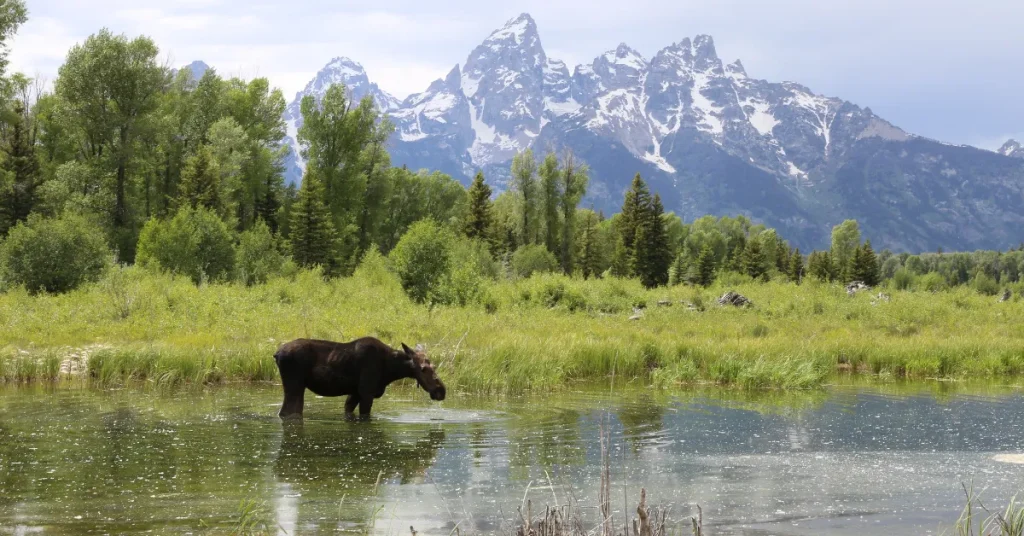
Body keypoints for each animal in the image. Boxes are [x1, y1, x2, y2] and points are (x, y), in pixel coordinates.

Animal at [274, 336, 446, 420]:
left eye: (434, 365)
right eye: (423, 369)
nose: (441, 390)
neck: (391, 370)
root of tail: (276, 354)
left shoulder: (355, 393)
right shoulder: (366, 392)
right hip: (294, 385)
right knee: (287, 411)